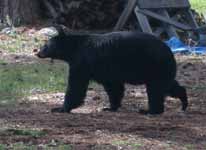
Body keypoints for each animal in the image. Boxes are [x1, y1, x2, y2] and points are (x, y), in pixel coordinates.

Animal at [36, 26, 187, 115]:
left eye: (46, 45)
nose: (38, 53)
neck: (74, 49)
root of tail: (169, 51)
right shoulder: (106, 70)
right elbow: (113, 87)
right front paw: (111, 107)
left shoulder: (82, 62)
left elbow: (76, 85)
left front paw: (60, 108)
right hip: (162, 69)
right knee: (168, 85)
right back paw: (183, 102)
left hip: (154, 65)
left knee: (155, 90)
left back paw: (150, 110)